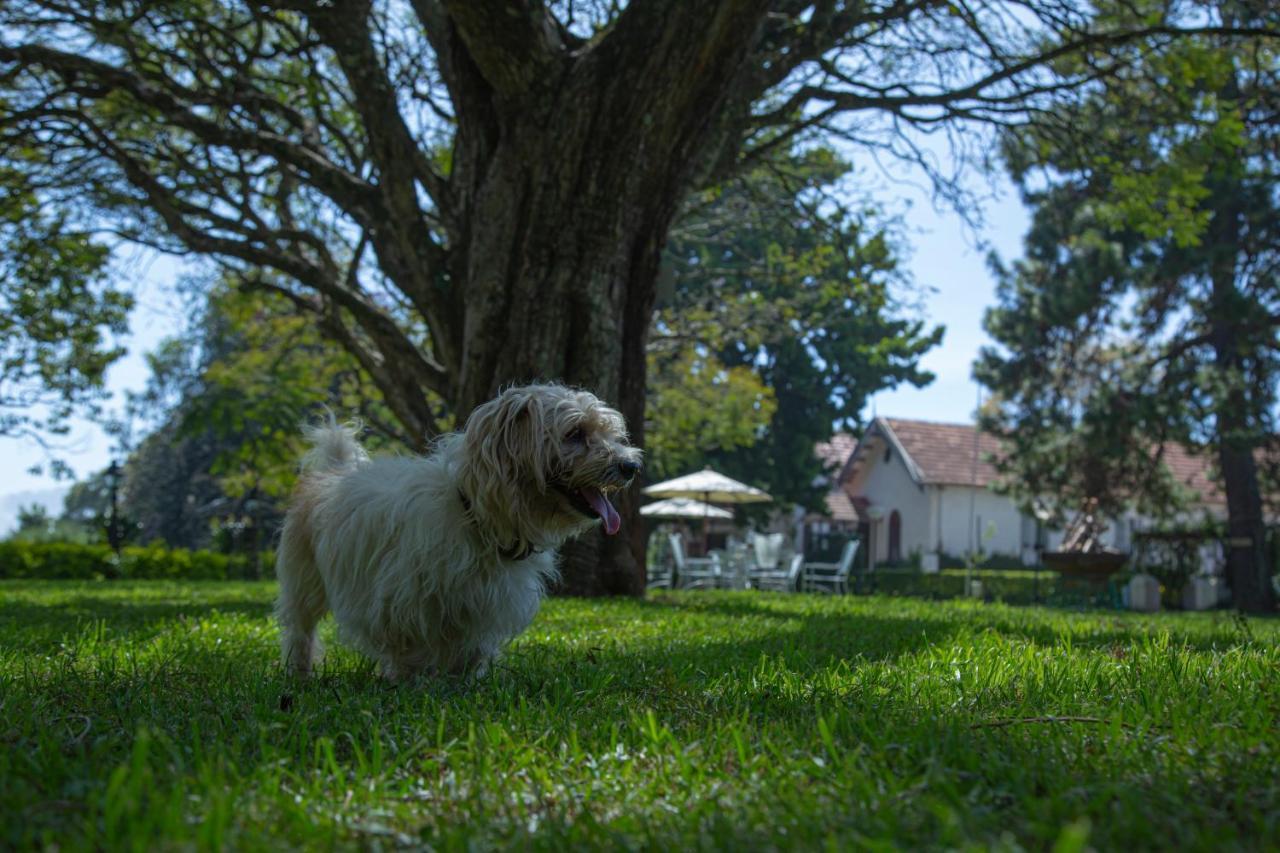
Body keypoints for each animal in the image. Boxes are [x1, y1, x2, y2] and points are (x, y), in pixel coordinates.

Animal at [276, 381, 645, 681]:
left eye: (610, 434)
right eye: (575, 433)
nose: (631, 466)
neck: (475, 515)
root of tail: (333, 471)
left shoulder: (483, 603)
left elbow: (470, 649)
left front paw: (464, 681)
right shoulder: (402, 600)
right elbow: (411, 648)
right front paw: (410, 680)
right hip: (304, 582)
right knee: (300, 630)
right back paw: (300, 673)